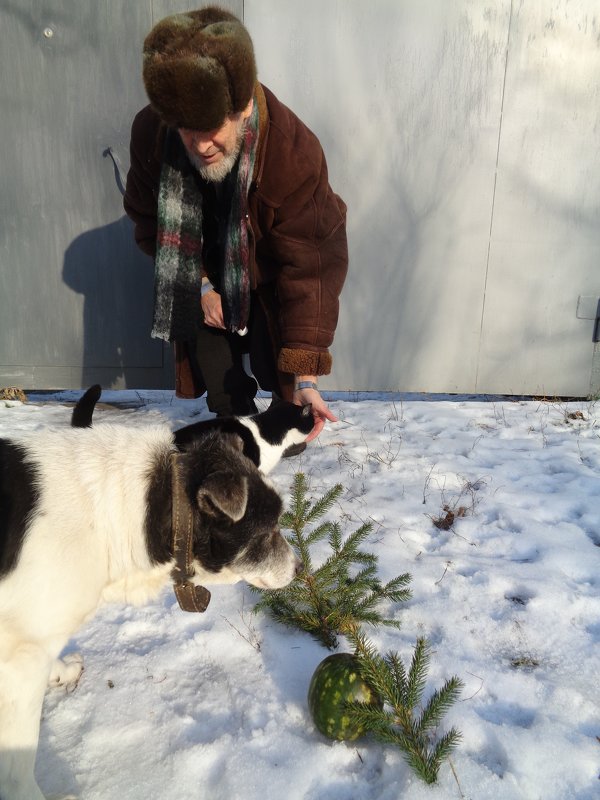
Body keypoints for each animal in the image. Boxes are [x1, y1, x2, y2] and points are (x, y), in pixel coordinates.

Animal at [0, 418, 300, 800]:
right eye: (269, 529)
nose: (300, 568)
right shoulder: (23, 656)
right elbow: (17, 767)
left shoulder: (29, 642)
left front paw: (61, 671)